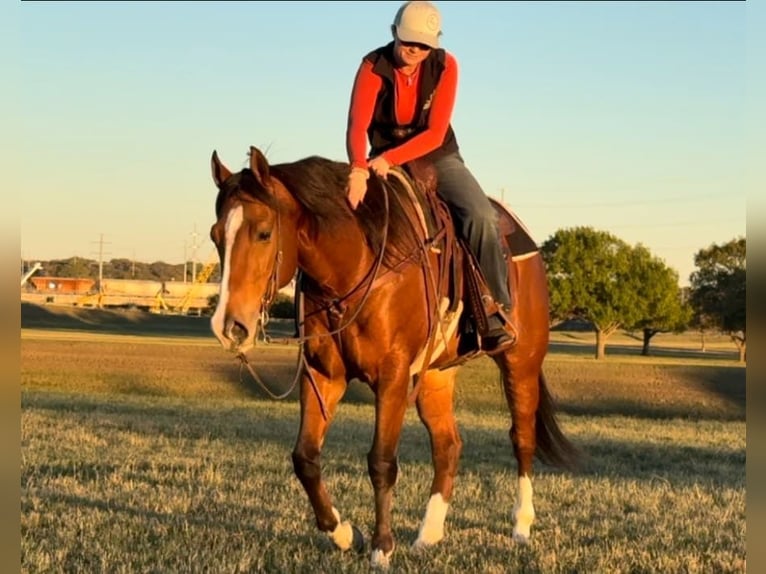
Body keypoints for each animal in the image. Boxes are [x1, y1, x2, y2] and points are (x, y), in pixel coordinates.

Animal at [208, 146, 580, 568]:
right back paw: (428, 534)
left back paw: (521, 525)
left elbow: (382, 461)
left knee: (522, 437)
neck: (356, 265)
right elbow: (305, 458)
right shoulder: (322, 375)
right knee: (448, 445)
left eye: (264, 233)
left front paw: (381, 547)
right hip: (436, 375)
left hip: (521, 363)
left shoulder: (393, 376)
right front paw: (343, 533)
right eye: (216, 236)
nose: (228, 326)